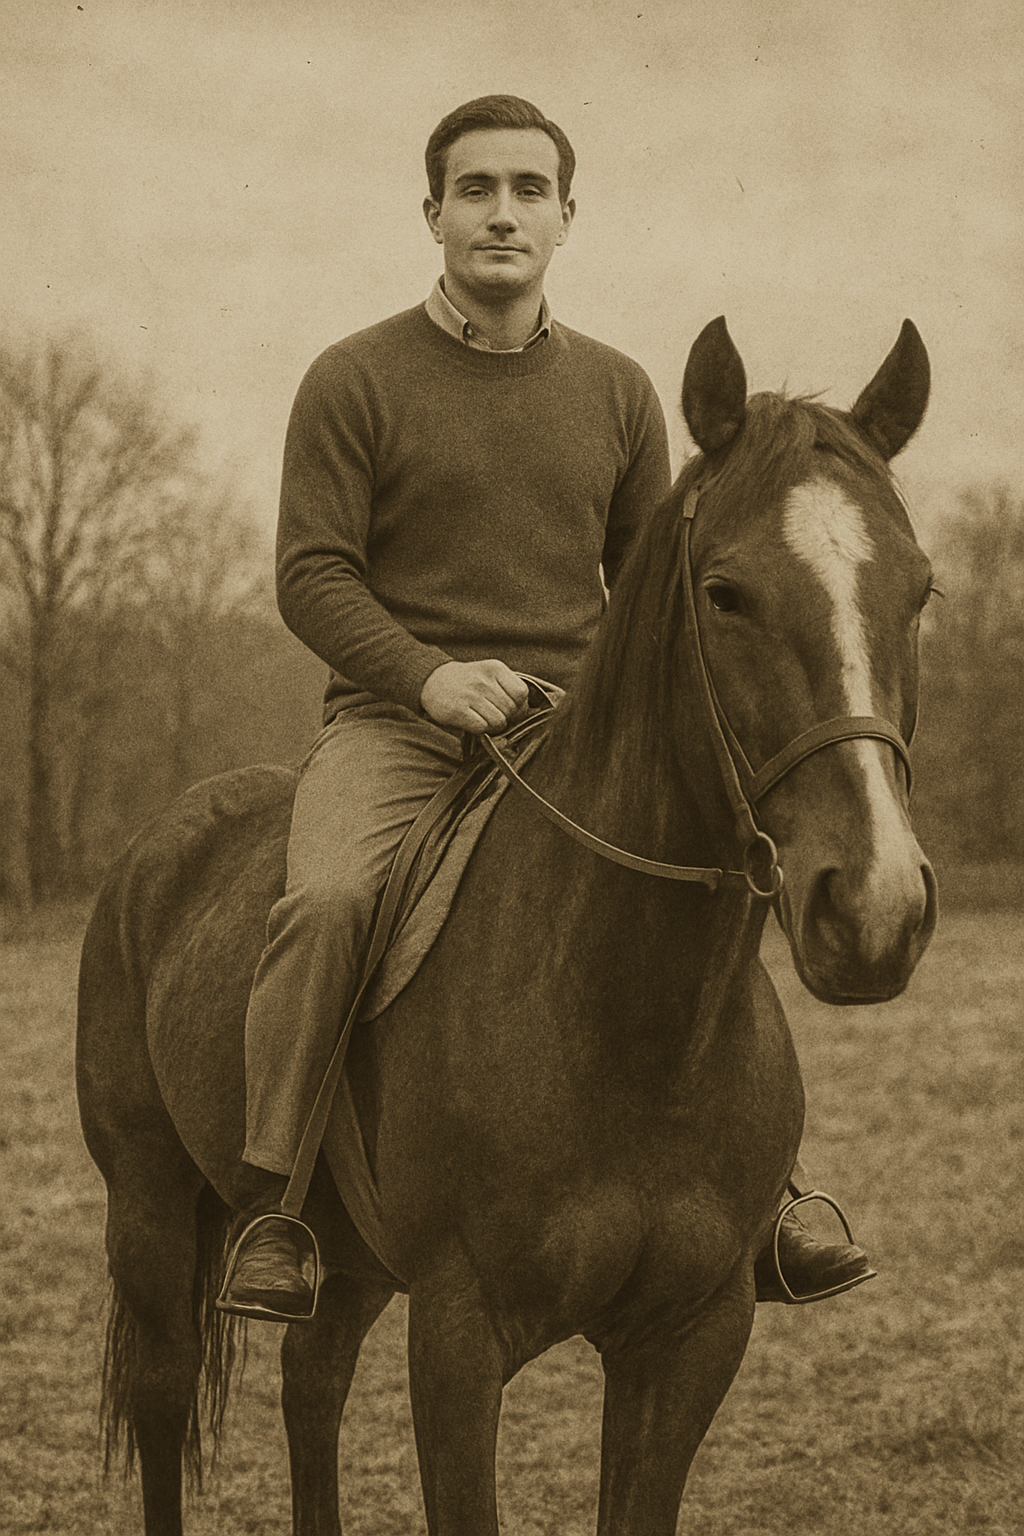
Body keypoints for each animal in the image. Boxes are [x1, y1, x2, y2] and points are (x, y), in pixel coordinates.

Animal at [76, 315, 937, 1536]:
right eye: (725, 594)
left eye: (918, 592)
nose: (874, 907)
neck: (628, 1026)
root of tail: (157, 847)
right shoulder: (459, 1338)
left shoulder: (690, 1339)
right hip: (147, 1208)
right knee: (160, 1406)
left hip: (342, 1264)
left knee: (311, 1388)